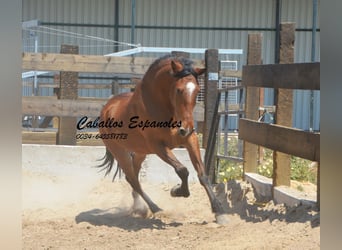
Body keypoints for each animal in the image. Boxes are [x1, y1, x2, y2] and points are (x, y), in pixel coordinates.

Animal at [97, 54, 228, 225]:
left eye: (198, 90)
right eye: (179, 90)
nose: (186, 128)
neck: (163, 108)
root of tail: (106, 108)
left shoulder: (190, 140)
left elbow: (202, 175)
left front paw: (219, 212)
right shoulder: (158, 146)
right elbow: (182, 170)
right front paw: (177, 191)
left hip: (140, 153)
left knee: (133, 178)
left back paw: (139, 208)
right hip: (120, 152)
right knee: (133, 179)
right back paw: (155, 208)